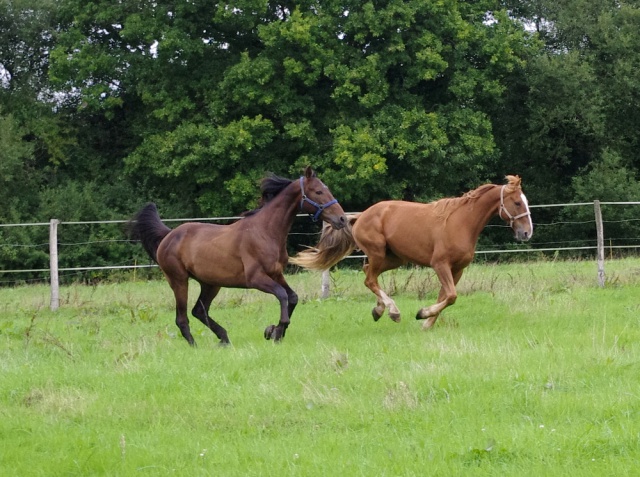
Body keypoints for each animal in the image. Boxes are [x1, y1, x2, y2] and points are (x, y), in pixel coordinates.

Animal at [129, 165, 344, 344]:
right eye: (318, 191)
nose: (341, 218)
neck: (265, 231)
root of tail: (168, 235)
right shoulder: (256, 278)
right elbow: (282, 296)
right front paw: (275, 331)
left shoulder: (276, 274)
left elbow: (292, 297)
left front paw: (274, 331)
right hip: (179, 280)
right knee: (182, 318)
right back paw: (194, 345)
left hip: (210, 284)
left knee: (199, 311)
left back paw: (224, 338)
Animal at [292, 175, 532, 328]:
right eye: (517, 203)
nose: (527, 233)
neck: (461, 222)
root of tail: (359, 217)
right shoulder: (440, 265)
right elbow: (451, 296)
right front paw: (422, 314)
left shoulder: (457, 269)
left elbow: (447, 296)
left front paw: (426, 323)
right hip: (378, 253)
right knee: (369, 279)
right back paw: (393, 311)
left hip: (394, 259)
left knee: (369, 273)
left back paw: (379, 310)